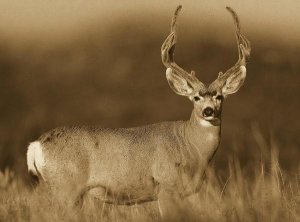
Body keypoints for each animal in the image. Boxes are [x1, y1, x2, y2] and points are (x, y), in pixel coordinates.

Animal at [26, 5, 251, 208]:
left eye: (220, 97)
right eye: (195, 97)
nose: (208, 111)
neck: (190, 148)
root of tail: (36, 145)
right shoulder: (165, 187)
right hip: (65, 188)